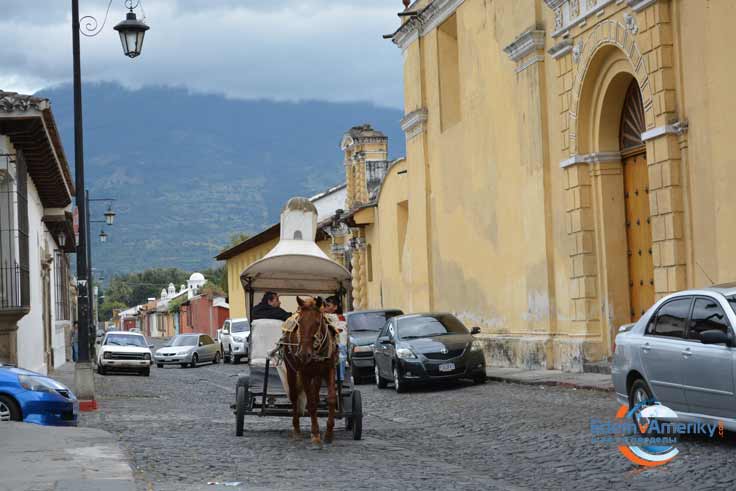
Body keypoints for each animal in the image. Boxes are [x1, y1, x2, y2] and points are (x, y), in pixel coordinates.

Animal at [282, 296, 340, 446]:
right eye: (300, 323)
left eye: (317, 322)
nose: (303, 354)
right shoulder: (304, 373)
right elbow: (311, 403)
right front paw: (315, 434)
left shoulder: (329, 369)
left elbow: (331, 399)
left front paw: (329, 433)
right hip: (291, 369)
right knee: (294, 396)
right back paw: (296, 429)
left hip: (317, 374)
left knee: (316, 393)